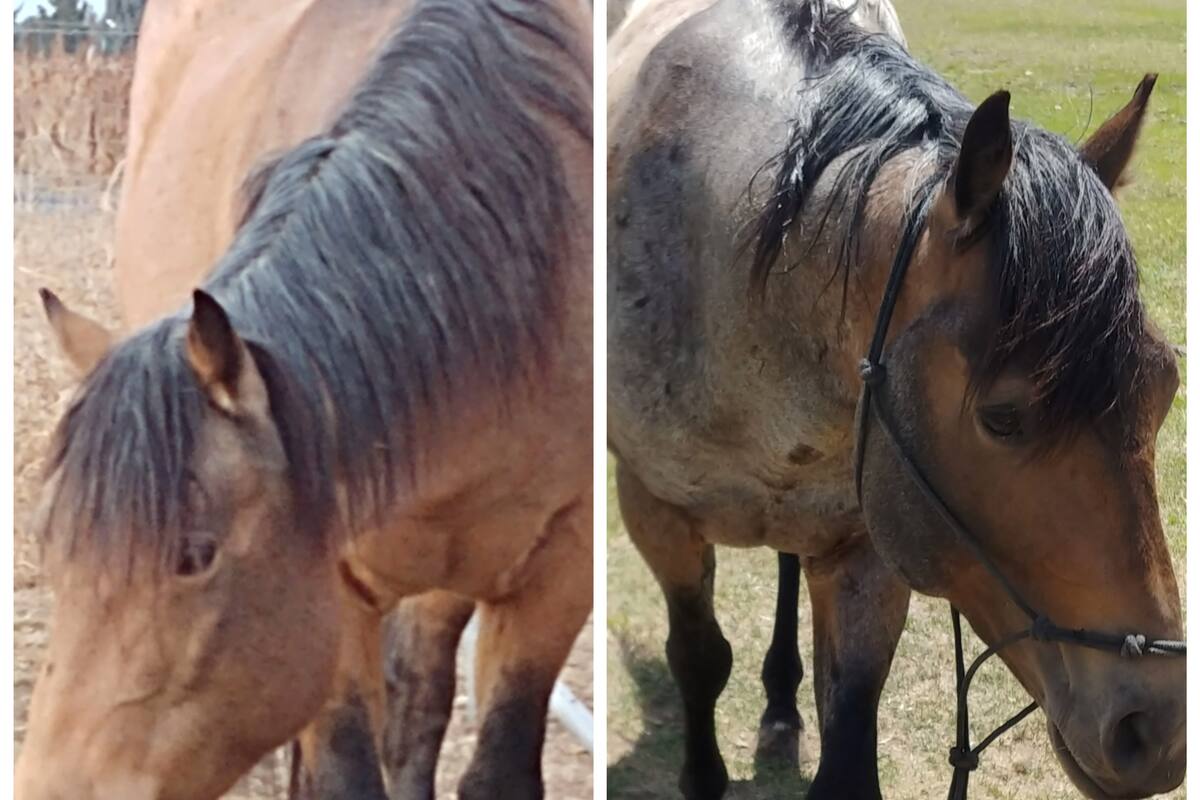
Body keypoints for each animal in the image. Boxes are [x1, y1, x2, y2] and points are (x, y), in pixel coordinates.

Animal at [607, 1, 1184, 798]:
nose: (1155, 730)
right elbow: (699, 659)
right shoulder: (655, 512)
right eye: (1001, 417)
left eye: (1167, 389)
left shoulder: (867, 547)